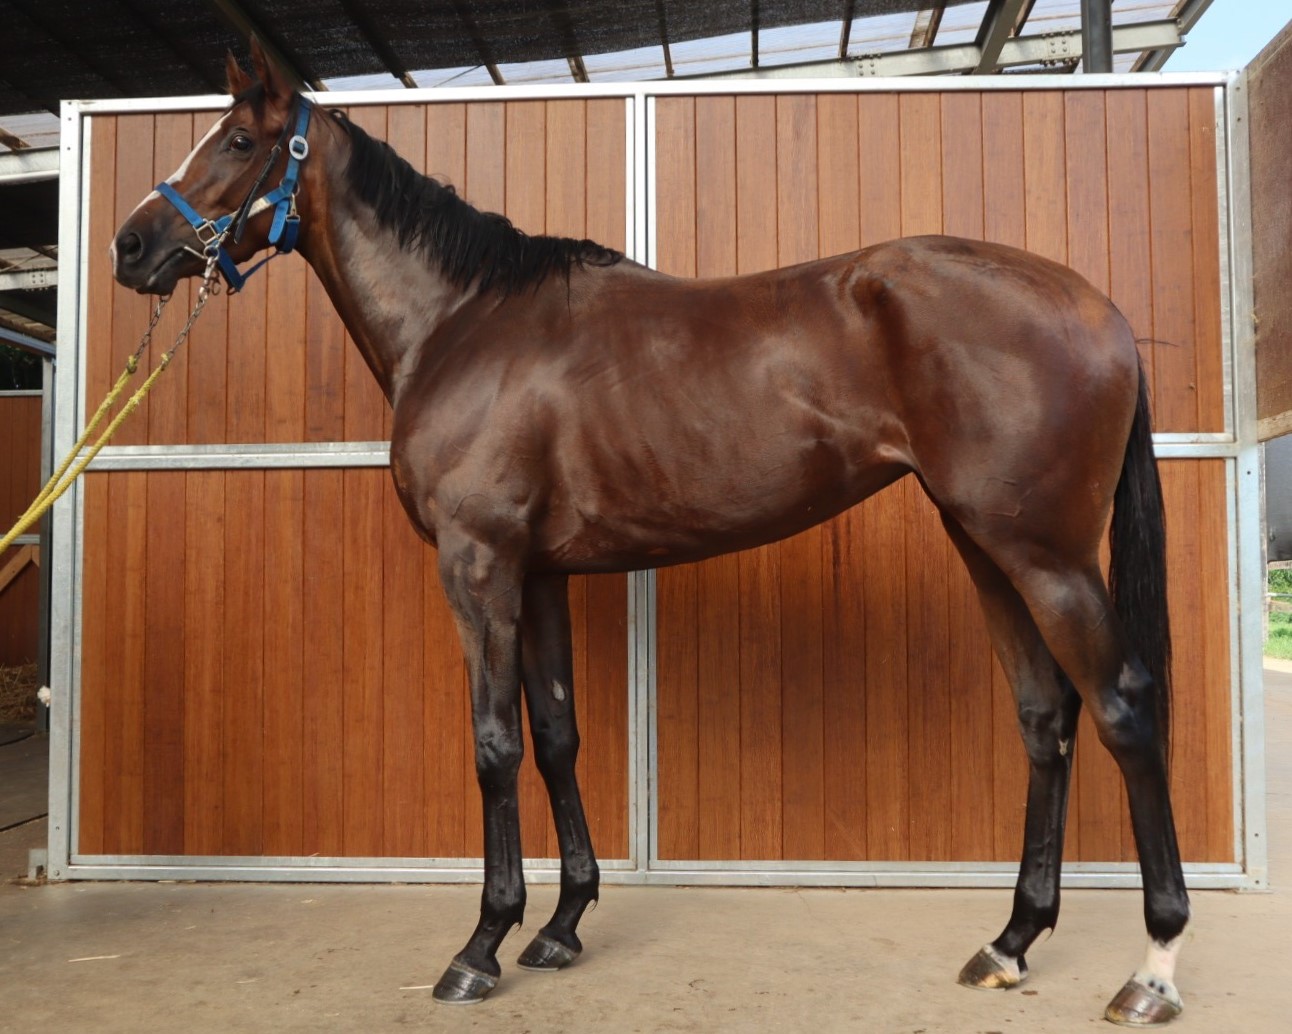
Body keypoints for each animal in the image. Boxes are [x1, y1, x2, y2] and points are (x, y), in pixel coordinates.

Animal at [110, 41, 1189, 1027]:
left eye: (237, 140)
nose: (131, 245)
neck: (463, 323)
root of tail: (1096, 307)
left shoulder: (479, 564)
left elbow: (495, 743)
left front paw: (481, 944)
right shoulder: (540, 572)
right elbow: (556, 735)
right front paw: (559, 925)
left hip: (1046, 557)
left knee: (1123, 709)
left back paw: (1151, 968)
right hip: (985, 543)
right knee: (1043, 714)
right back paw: (1009, 940)